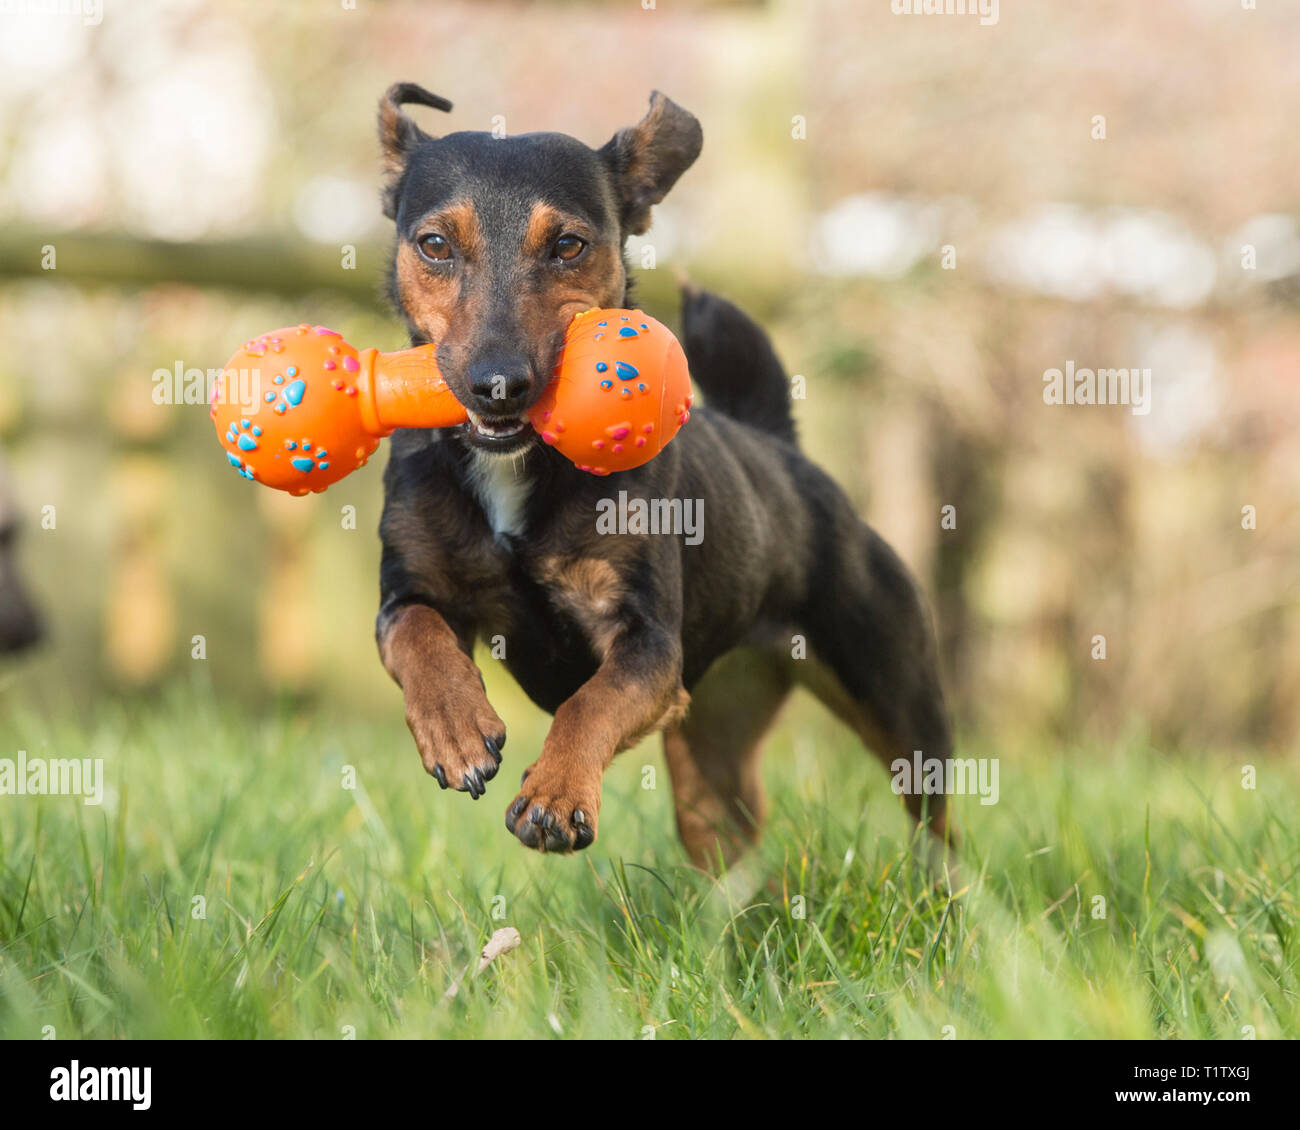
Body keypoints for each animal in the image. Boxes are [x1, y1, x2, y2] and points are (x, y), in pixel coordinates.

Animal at [371, 85, 951, 863]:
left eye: (568, 245)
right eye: (434, 244)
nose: (497, 385)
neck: (518, 469)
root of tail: (781, 448)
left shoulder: (647, 643)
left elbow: (590, 703)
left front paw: (556, 793)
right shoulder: (407, 593)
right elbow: (419, 637)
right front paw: (456, 728)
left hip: (899, 699)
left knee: (936, 819)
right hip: (711, 755)